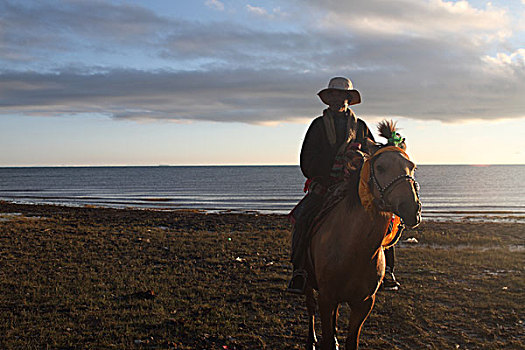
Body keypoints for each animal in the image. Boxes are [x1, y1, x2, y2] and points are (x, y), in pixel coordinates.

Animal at [300, 120, 420, 350]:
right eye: (380, 168)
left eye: (412, 167)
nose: (412, 209)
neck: (354, 250)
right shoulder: (326, 297)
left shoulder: (364, 303)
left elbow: (351, 341)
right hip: (309, 284)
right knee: (310, 308)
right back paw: (311, 340)